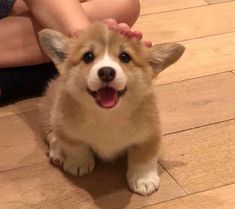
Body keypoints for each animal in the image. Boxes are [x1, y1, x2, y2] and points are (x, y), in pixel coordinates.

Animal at [38, 23, 185, 196]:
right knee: (52, 136)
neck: (107, 116)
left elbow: (143, 158)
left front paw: (144, 180)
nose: (106, 72)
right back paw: (58, 152)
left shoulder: (149, 134)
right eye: (88, 56)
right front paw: (79, 163)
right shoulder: (64, 126)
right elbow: (75, 146)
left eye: (125, 56)